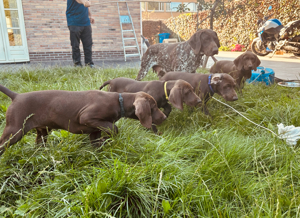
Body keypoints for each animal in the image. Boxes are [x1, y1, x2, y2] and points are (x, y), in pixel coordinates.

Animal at [0, 84, 166, 154]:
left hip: (42, 132)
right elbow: (114, 128)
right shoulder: (86, 117)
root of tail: (16, 96)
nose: (164, 117)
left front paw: (102, 144)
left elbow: (98, 141)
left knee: (39, 144)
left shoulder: (94, 130)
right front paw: (107, 139)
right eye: (154, 107)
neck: (118, 101)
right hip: (15, 131)